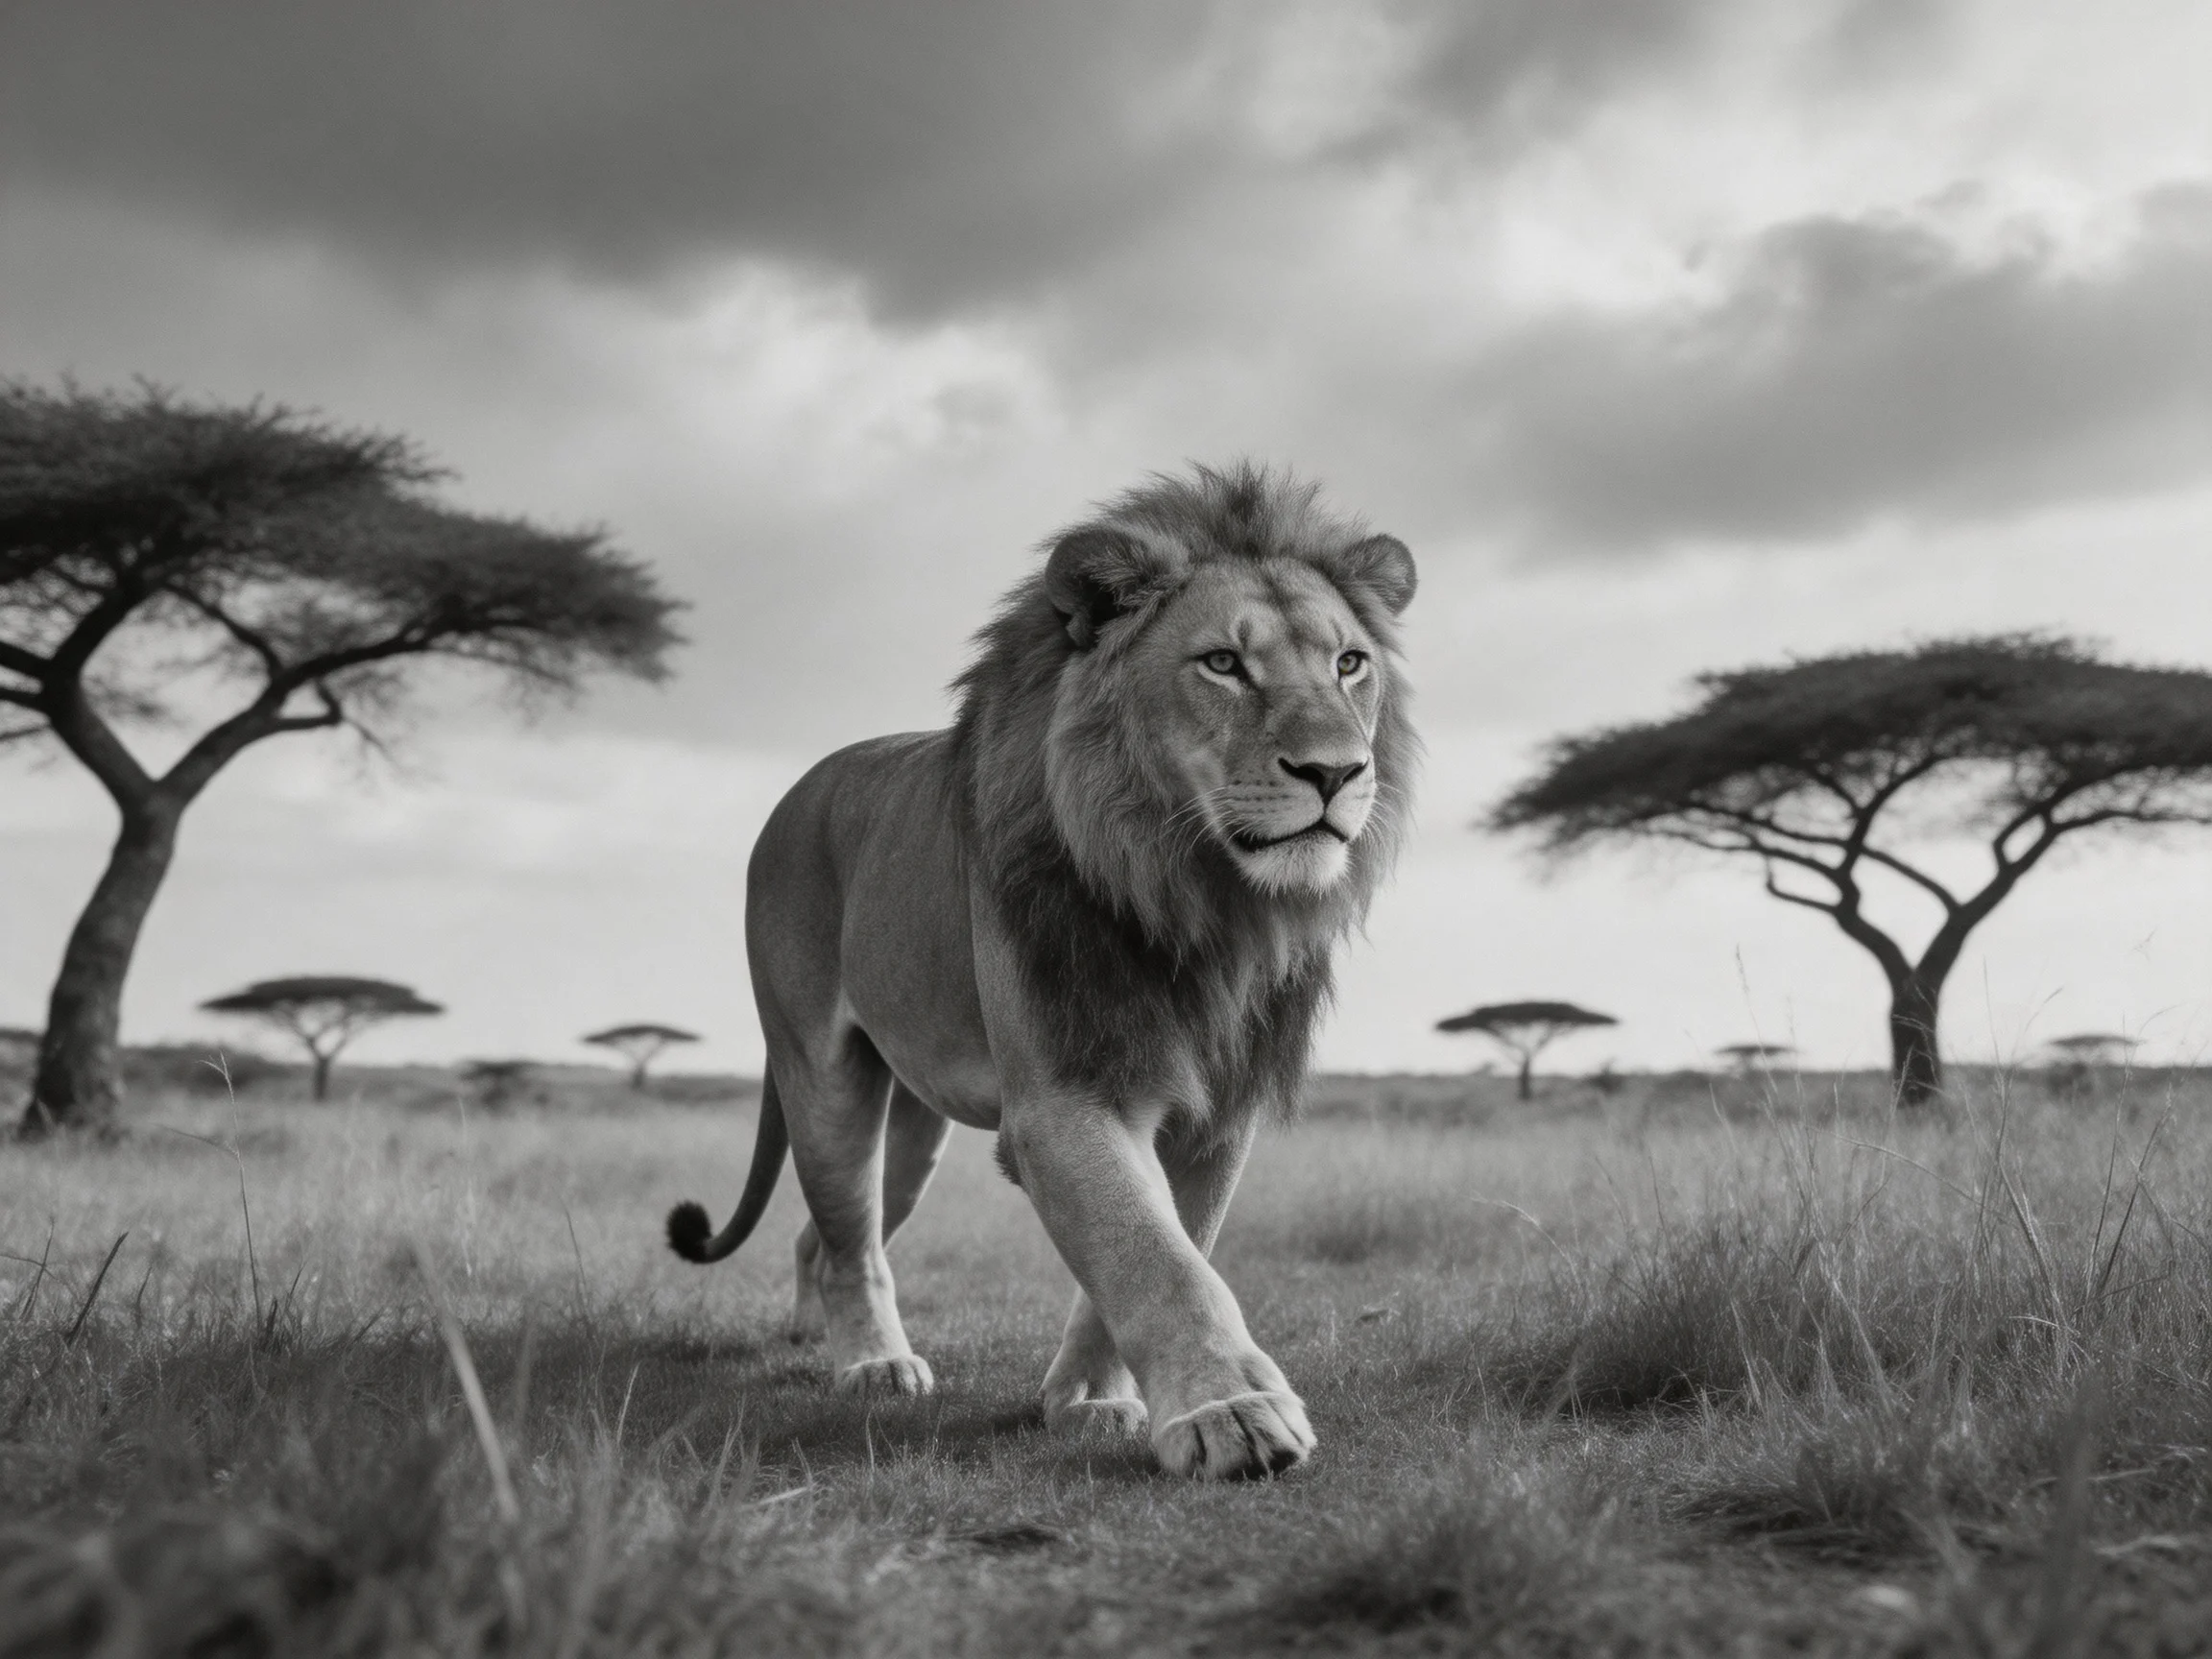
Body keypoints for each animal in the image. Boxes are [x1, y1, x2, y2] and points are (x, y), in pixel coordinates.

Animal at [666, 462, 1416, 1479]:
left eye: (1349, 664)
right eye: (1223, 663)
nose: (1337, 772)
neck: (1198, 900)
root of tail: (800, 787)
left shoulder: (1218, 1107)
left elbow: (1164, 1244)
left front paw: (1091, 1399)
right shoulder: (1062, 1096)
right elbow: (1153, 1254)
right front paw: (1232, 1412)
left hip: (916, 1130)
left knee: (829, 1237)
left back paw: (810, 1336)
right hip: (823, 1078)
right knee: (850, 1234)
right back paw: (871, 1364)